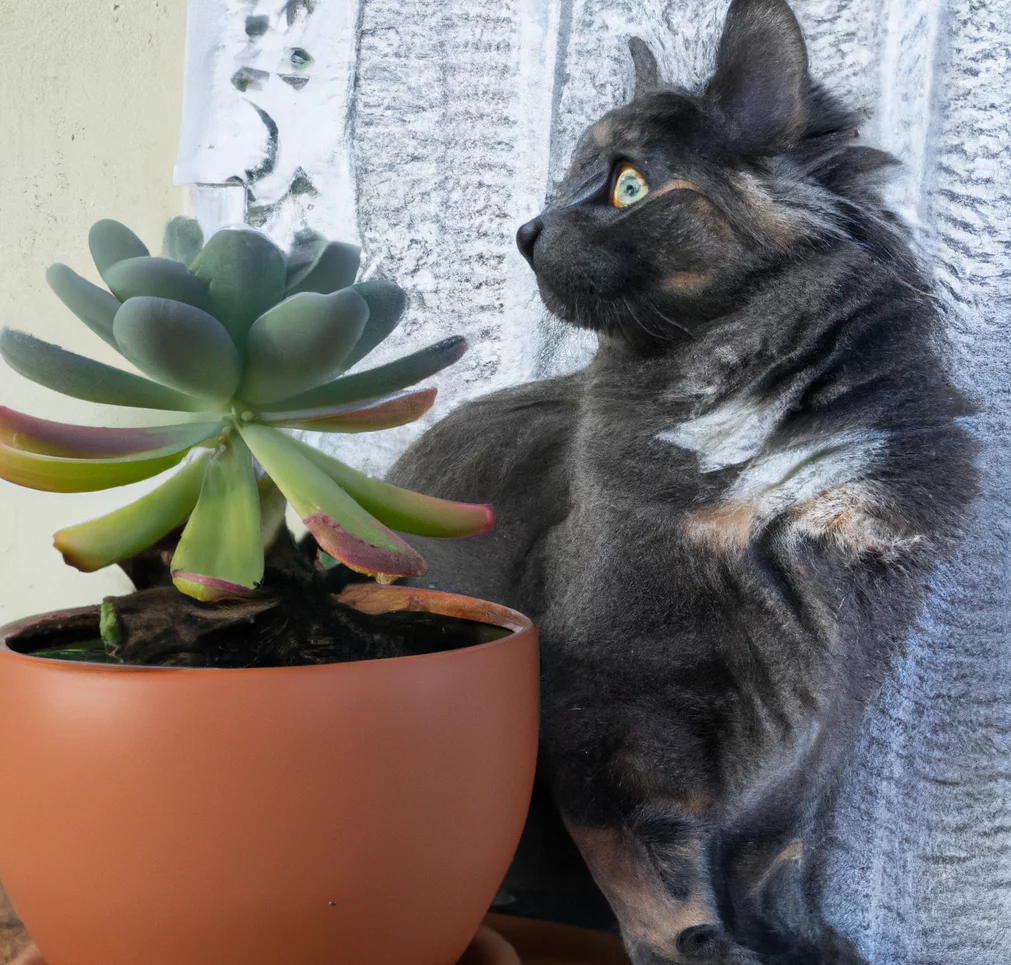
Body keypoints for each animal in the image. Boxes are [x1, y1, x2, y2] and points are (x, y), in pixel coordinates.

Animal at [384, 3, 970, 961]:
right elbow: (655, 866)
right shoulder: (615, 707)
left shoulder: (827, 715)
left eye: (628, 187)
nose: (529, 228)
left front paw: (800, 943)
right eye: (568, 180)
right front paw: (704, 948)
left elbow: (781, 854)